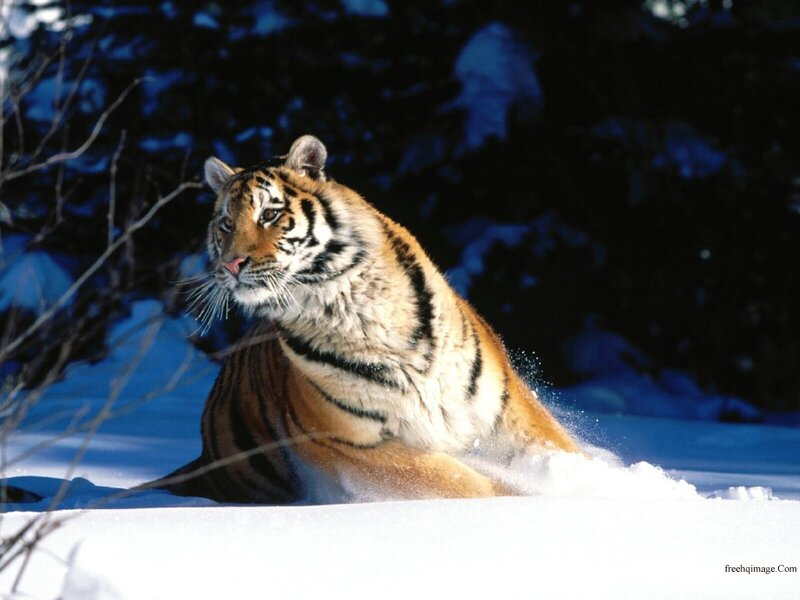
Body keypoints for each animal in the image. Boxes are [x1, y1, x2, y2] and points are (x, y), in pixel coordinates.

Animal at [157, 134, 580, 503]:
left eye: (270, 214)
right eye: (225, 224)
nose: (230, 265)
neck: (352, 304)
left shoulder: (501, 405)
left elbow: (557, 449)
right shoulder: (353, 443)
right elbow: (467, 482)